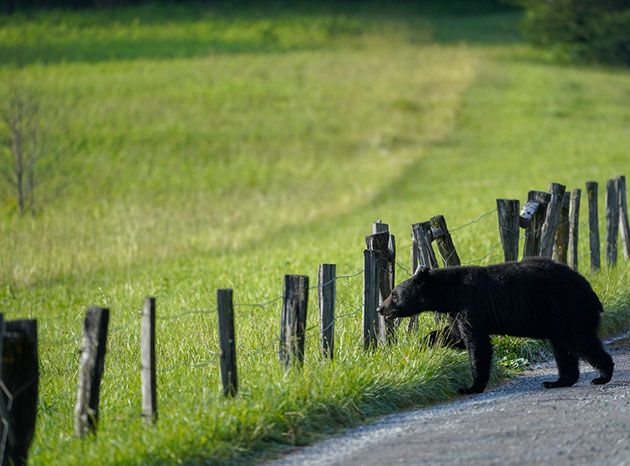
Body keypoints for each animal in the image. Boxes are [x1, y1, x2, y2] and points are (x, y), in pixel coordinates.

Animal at [380, 256, 616, 396]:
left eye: (394, 294)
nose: (380, 308)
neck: (450, 293)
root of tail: (591, 293)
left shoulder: (471, 305)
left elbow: (477, 344)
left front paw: (470, 387)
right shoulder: (458, 312)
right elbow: (455, 335)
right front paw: (422, 343)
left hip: (566, 309)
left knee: (579, 341)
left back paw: (602, 376)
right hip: (558, 318)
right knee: (563, 349)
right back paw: (557, 381)